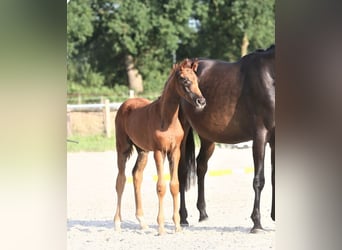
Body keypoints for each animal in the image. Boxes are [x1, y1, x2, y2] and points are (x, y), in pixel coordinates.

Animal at [114, 58, 206, 234]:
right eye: (185, 80)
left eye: (197, 80)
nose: (201, 101)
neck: (167, 119)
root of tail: (125, 104)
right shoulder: (159, 151)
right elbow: (161, 186)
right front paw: (161, 227)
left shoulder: (175, 152)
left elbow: (175, 185)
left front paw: (177, 226)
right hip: (122, 148)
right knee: (121, 180)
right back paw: (117, 223)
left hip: (142, 151)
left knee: (136, 175)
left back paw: (142, 221)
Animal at [179, 44, 276, 232]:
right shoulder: (260, 136)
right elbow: (259, 180)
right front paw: (256, 223)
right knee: (181, 172)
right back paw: (183, 217)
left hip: (208, 138)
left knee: (201, 166)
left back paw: (203, 213)